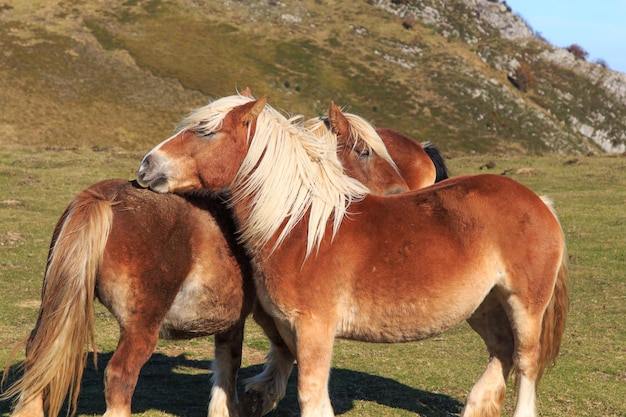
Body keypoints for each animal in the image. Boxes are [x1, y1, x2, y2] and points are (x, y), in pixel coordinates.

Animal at [135, 95, 564, 416]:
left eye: (205, 131)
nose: (146, 165)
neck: (299, 227)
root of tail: (538, 202)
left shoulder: (314, 330)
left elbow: (311, 397)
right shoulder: (286, 330)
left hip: (524, 306)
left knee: (526, 362)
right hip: (485, 306)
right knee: (501, 351)